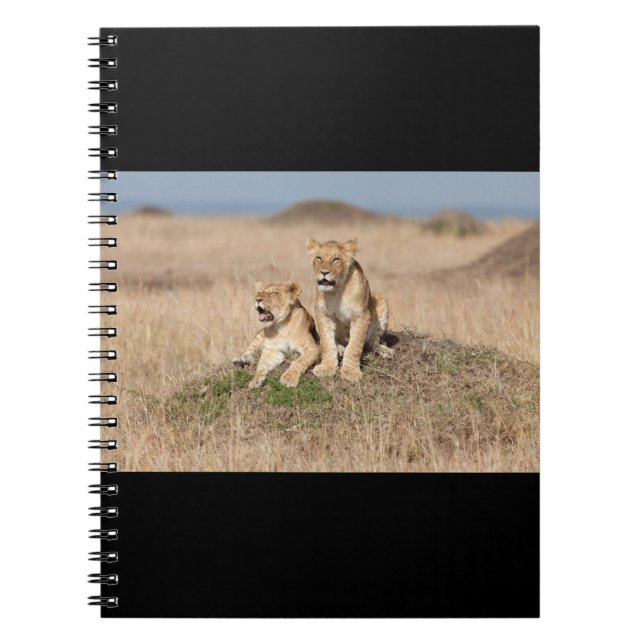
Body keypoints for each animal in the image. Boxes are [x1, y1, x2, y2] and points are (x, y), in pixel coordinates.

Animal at [305, 238, 393, 383]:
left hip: (381, 298)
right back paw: (340, 348)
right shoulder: (323, 314)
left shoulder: (361, 316)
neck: (336, 290)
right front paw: (327, 368)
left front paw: (351, 372)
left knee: (373, 341)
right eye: (319, 258)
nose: (324, 272)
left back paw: (385, 351)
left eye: (336, 259)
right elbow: (327, 342)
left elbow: (354, 346)